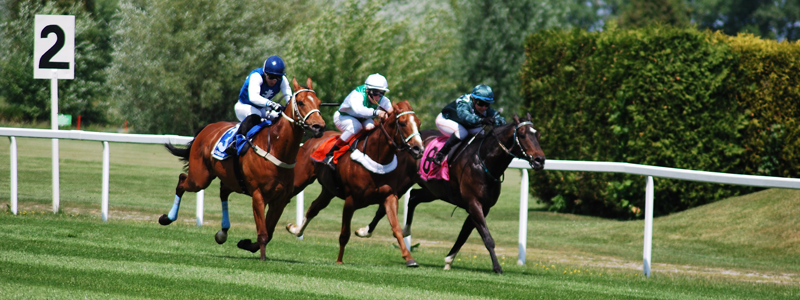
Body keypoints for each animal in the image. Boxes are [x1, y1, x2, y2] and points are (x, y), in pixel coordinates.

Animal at [158, 77, 324, 260]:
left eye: (319, 102)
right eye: (301, 102)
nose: (319, 126)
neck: (276, 148)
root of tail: (207, 128)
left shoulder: (280, 199)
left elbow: (269, 231)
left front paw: (247, 244)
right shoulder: (258, 195)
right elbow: (263, 233)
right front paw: (262, 258)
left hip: (231, 179)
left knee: (223, 192)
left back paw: (223, 231)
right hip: (199, 178)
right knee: (182, 180)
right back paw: (167, 218)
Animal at [286, 101, 424, 268]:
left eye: (418, 123)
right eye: (403, 123)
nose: (418, 149)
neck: (376, 158)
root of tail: (312, 139)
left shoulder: (390, 196)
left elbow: (396, 228)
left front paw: (409, 258)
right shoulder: (350, 200)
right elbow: (345, 233)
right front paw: (339, 260)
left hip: (328, 190)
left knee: (314, 207)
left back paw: (295, 230)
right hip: (300, 180)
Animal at [356, 113, 544, 274]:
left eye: (538, 134)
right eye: (522, 134)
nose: (540, 160)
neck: (484, 161)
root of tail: (407, 143)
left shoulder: (482, 207)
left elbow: (463, 235)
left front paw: (448, 260)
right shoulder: (473, 203)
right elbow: (487, 237)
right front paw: (497, 268)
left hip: (433, 190)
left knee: (414, 197)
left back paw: (406, 229)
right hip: (403, 182)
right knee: (385, 206)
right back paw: (365, 231)